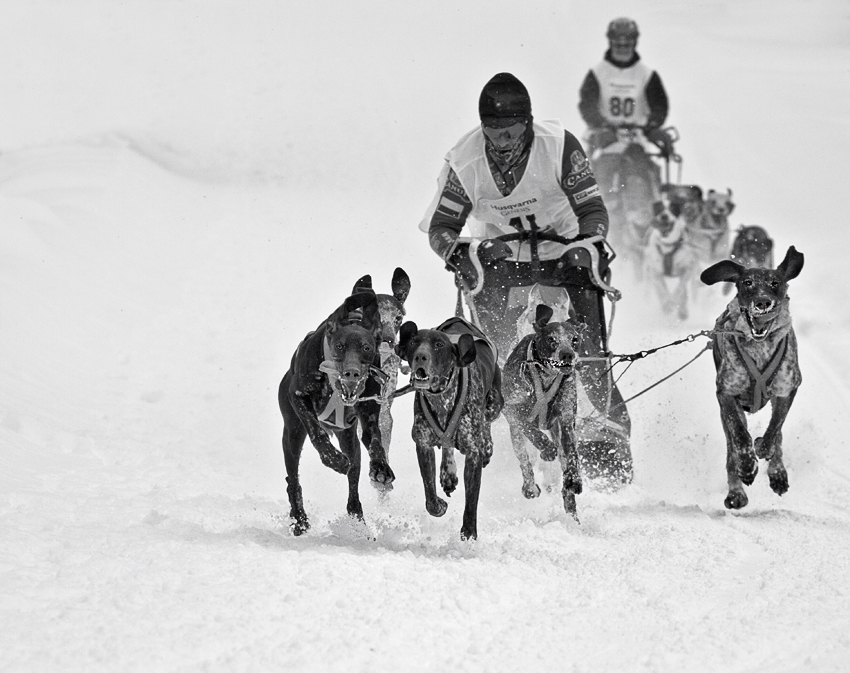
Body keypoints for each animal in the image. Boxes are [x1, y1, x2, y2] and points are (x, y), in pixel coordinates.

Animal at [280, 288, 396, 536]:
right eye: (340, 346)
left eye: (366, 348)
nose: (352, 373)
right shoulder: (298, 397)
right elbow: (317, 433)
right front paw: (333, 459)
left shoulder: (369, 413)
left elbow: (375, 440)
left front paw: (381, 468)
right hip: (292, 434)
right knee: (293, 479)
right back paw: (299, 519)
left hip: (349, 440)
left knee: (353, 486)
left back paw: (358, 523)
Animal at [394, 316, 500, 540]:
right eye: (414, 342)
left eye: (439, 345)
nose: (421, 357)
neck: (441, 396)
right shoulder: (423, 444)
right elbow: (429, 493)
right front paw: (439, 505)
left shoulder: (473, 454)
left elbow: (471, 500)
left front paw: (469, 532)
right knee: (447, 445)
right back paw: (448, 472)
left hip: (494, 403)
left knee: (487, 421)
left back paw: (487, 447)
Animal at [500, 304, 588, 520]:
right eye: (551, 339)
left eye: (575, 339)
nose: (567, 354)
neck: (546, 377)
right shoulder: (512, 410)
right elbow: (531, 429)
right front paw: (546, 448)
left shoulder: (566, 419)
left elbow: (572, 453)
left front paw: (575, 479)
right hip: (515, 436)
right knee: (524, 459)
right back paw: (530, 487)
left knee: (563, 460)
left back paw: (571, 507)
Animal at [696, 247, 800, 510]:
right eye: (747, 282)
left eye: (775, 282)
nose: (762, 302)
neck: (760, 347)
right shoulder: (726, 393)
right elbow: (740, 436)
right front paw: (747, 466)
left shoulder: (787, 389)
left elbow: (775, 430)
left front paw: (765, 451)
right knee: (731, 445)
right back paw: (736, 492)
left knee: (777, 436)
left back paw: (777, 472)